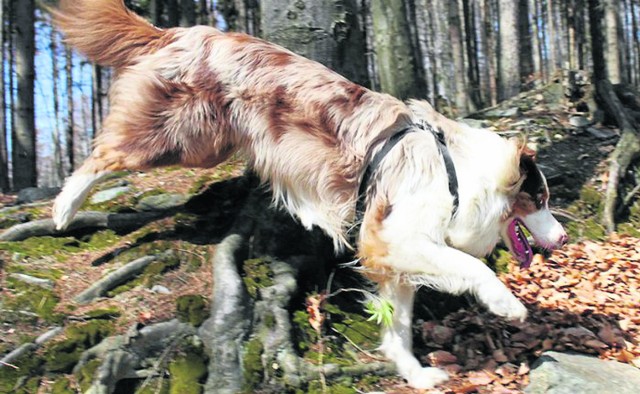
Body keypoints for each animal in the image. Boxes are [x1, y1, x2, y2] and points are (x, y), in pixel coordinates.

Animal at [52, 0, 568, 388]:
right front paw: (507, 304)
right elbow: (471, 265)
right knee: (104, 154)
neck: (456, 173)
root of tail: (182, 32)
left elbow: (399, 324)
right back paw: (64, 208)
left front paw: (415, 372)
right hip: (188, 138)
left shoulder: (390, 253)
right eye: (539, 201)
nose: (563, 238)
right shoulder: (395, 236)